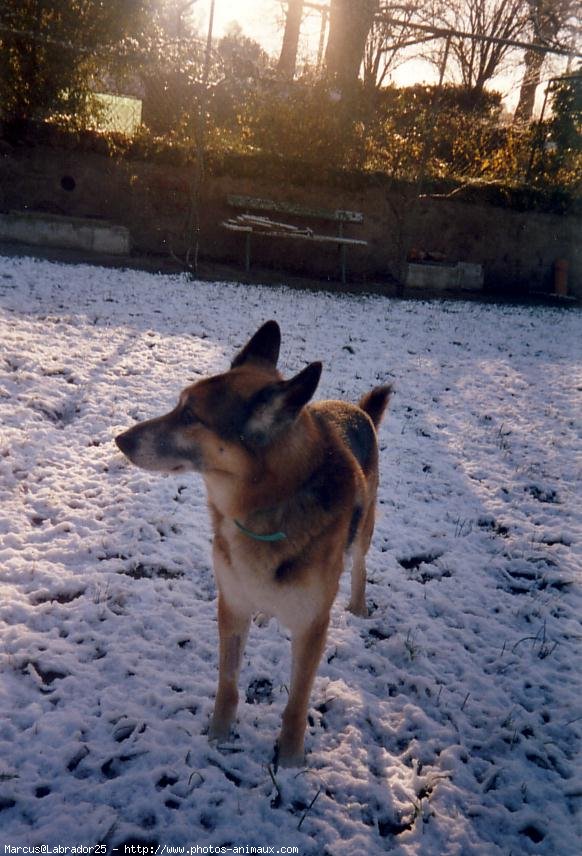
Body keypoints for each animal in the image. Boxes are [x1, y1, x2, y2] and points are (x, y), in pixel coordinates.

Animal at [115, 320, 392, 768]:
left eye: (190, 416)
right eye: (179, 405)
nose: (120, 440)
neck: (266, 507)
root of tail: (356, 408)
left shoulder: (312, 628)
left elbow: (296, 704)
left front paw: (291, 760)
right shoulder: (231, 606)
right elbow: (227, 686)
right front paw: (217, 739)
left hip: (362, 533)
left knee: (361, 565)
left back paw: (358, 604)